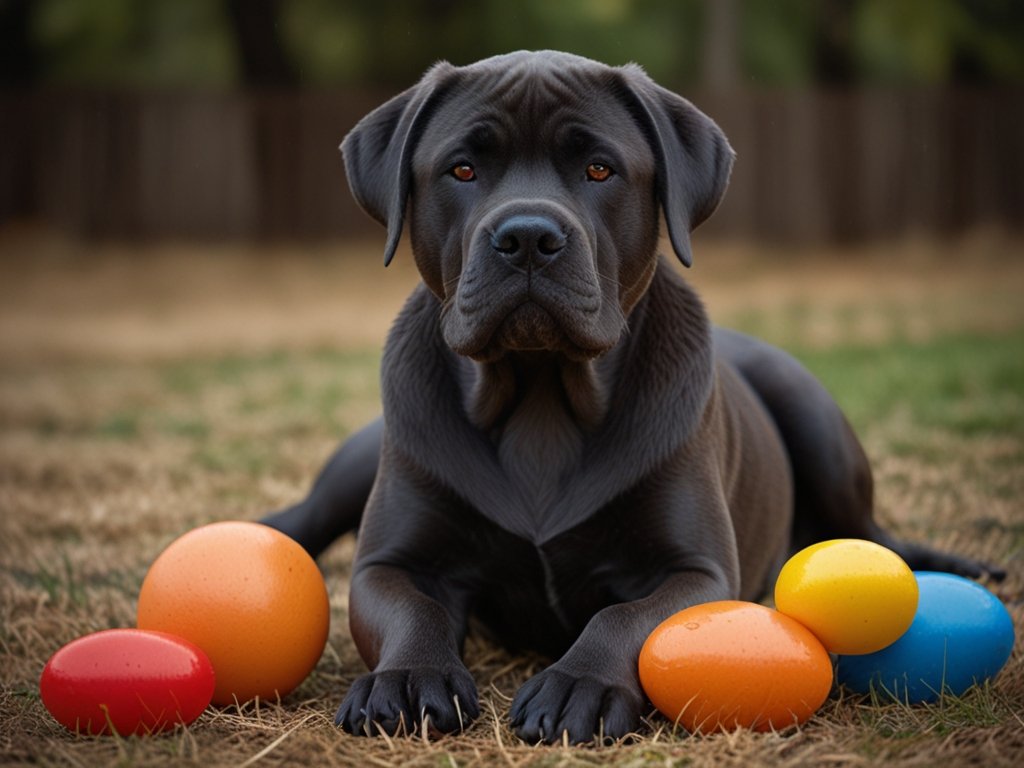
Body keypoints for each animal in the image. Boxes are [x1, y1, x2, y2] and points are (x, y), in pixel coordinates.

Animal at [260, 52, 995, 745]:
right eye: (462, 169)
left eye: (600, 170)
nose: (528, 236)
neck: (542, 398)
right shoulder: (392, 563)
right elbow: (415, 609)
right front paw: (410, 679)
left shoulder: (694, 570)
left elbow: (626, 617)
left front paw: (577, 685)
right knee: (306, 515)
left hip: (816, 421)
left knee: (872, 533)